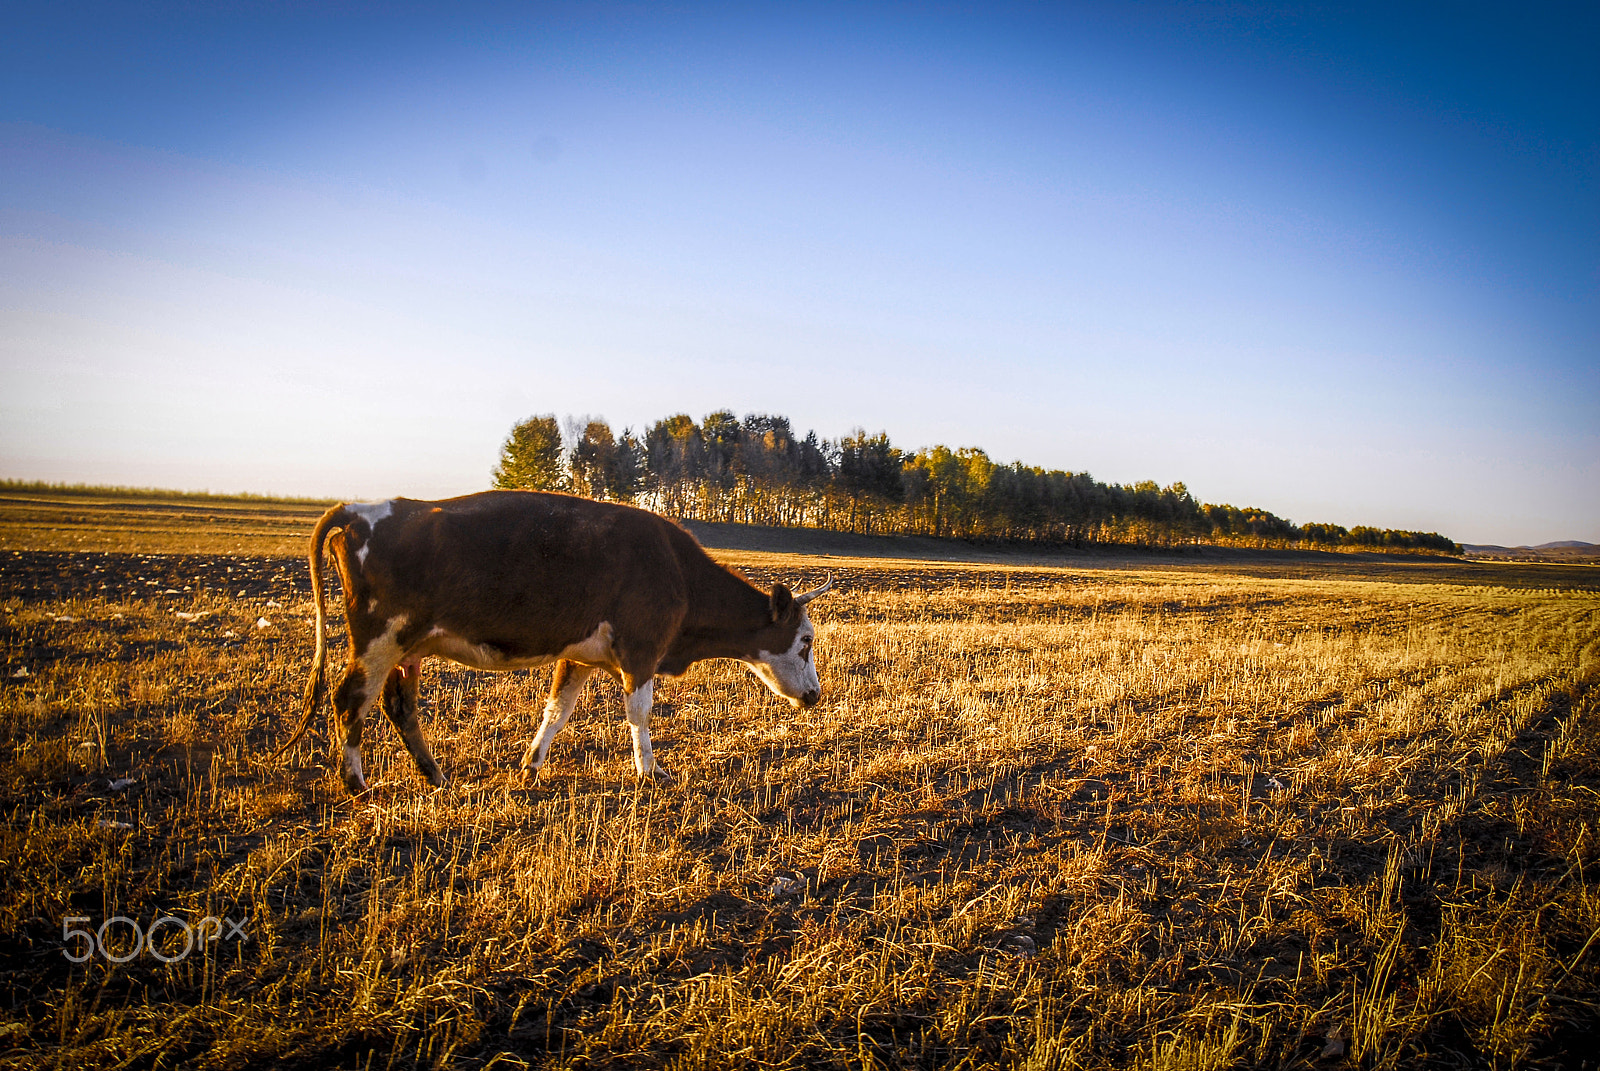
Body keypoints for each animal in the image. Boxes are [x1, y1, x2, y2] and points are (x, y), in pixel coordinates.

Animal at [273, 489, 832, 790]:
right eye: (805, 640)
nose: (815, 695)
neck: (677, 571)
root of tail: (360, 507)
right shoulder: (640, 651)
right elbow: (639, 714)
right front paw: (650, 772)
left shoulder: (579, 656)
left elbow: (556, 711)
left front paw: (531, 765)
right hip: (378, 640)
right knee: (350, 700)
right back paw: (356, 783)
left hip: (406, 649)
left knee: (399, 706)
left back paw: (436, 776)